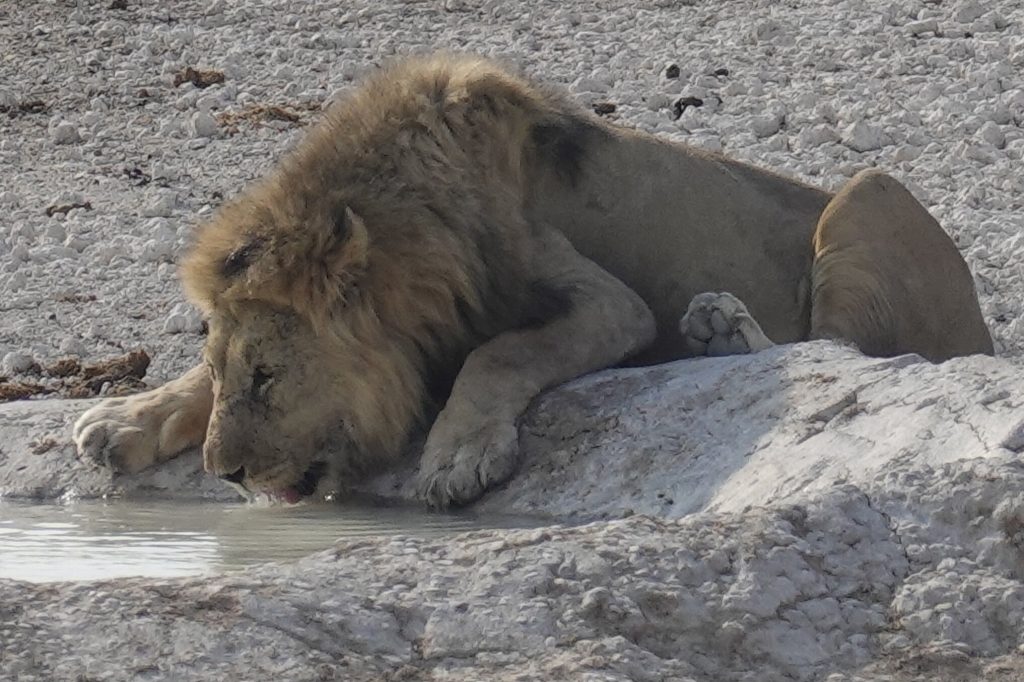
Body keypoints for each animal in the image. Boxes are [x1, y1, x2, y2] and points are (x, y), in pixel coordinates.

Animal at [73, 53, 993, 508]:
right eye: (237, 372)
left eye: (269, 376)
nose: (224, 475)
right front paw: (127, 417)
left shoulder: (611, 305)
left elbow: (500, 354)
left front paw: (456, 458)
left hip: (870, 191)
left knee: (838, 349)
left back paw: (723, 328)